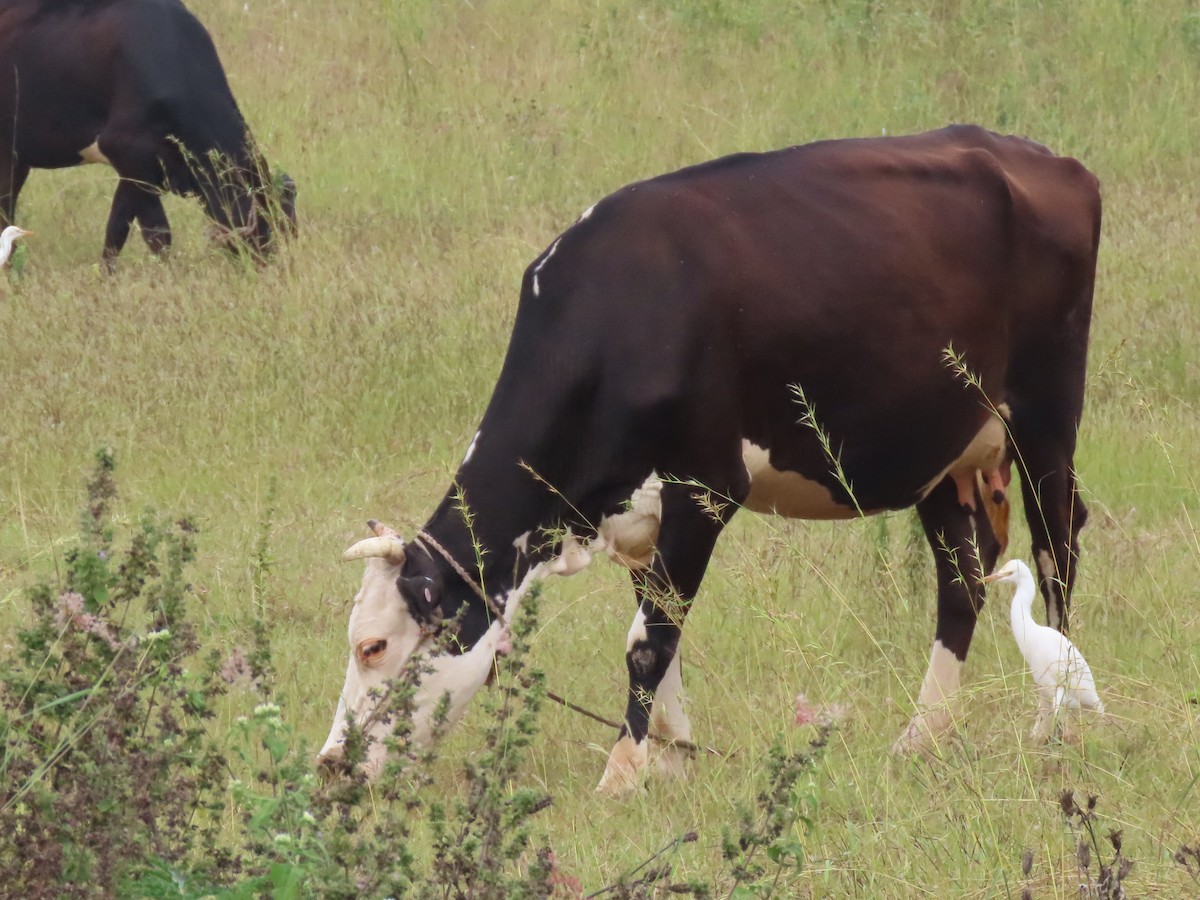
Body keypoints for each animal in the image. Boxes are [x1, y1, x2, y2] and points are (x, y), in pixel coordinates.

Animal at [0, 0, 296, 267]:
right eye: (264, 229)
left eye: (290, 230)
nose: (279, 270)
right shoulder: (128, 151)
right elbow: (157, 234)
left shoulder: (142, 171)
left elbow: (117, 229)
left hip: (14, 157)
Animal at [320, 125, 1101, 796]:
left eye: (374, 647)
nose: (331, 764)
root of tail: (1045, 159)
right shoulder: (637, 515)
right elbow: (660, 623)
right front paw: (673, 756)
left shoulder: (705, 488)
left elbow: (646, 640)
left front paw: (623, 772)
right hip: (938, 449)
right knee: (960, 580)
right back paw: (922, 736)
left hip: (1044, 424)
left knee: (1057, 556)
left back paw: (1053, 727)